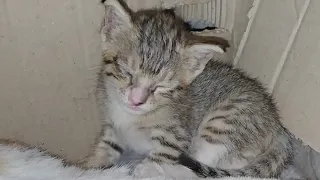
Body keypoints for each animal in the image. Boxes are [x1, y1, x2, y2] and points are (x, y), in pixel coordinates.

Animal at [85, 0, 296, 177]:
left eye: (161, 86)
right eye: (127, 72)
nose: (136, 101)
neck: (130, 117)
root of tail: (278, 127)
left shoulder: (177, 134)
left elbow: (165, 152)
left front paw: (148, 169)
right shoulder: (112, 127)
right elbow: (105, 146)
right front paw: (90, 167)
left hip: (225, 121)